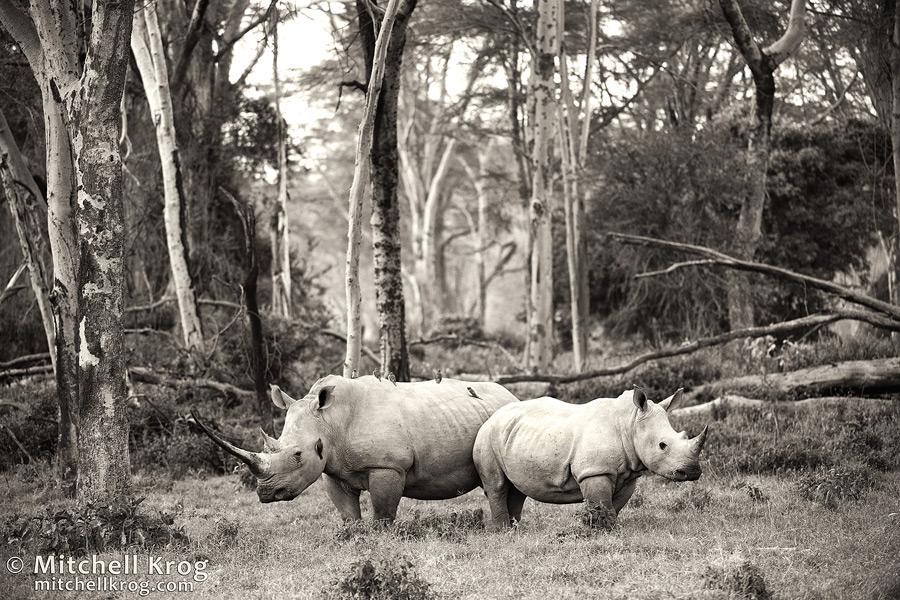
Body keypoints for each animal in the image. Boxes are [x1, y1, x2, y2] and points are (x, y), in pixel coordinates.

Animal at [193, 374, 519, 522]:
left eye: (297, 455)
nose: (266, 494)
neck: (329, 421)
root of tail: (510, 393)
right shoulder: (332, 469)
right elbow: (347, 512)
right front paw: (354, 536)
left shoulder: (388, 465)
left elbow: (384, 510)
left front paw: (381, 537)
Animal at [472, 387, 709, 530]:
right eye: (662, 445)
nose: (693, 471)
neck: (630, 423)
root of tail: (492, 415)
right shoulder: (594, 470)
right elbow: (600, 502)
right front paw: (601, 530)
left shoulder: (628, 474)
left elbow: (614, 505)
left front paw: (609, 526)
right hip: (486, 436)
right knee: (497, 485)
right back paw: (503, 531)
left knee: (517, 488)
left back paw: (516, 529)